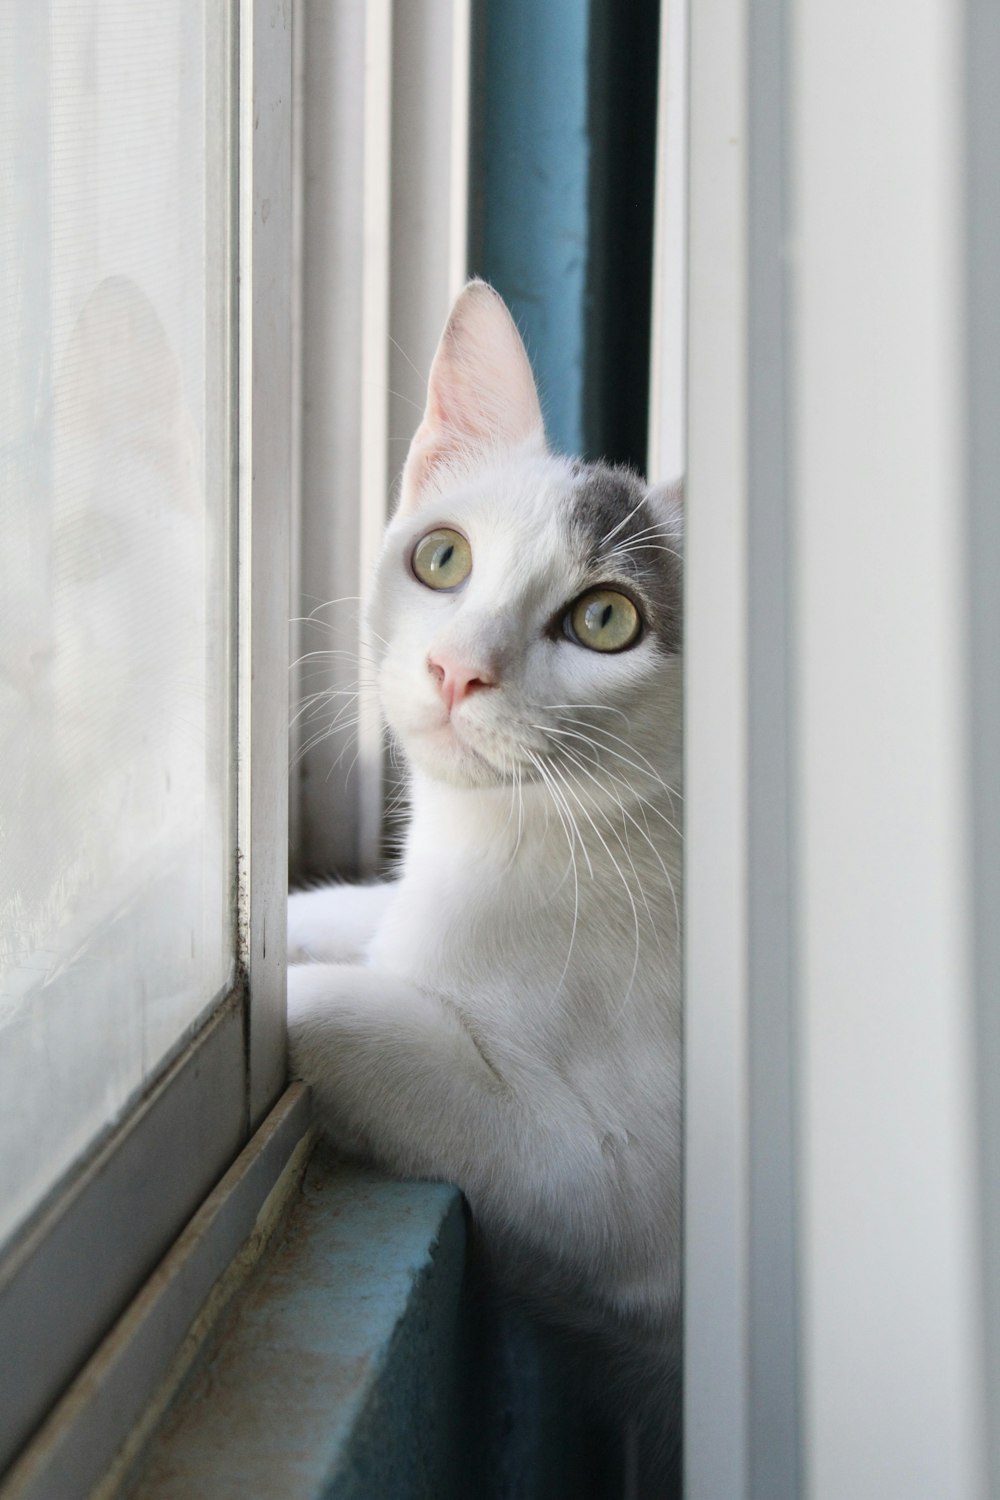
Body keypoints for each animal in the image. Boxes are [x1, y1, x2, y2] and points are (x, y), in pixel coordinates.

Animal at [284, 279, 683, 1476]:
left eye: (607, 619)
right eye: (443, 559)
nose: (457, 669)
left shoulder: (622, 1190)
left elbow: (350, 1014)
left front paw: (287, 999)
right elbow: (361, 929)